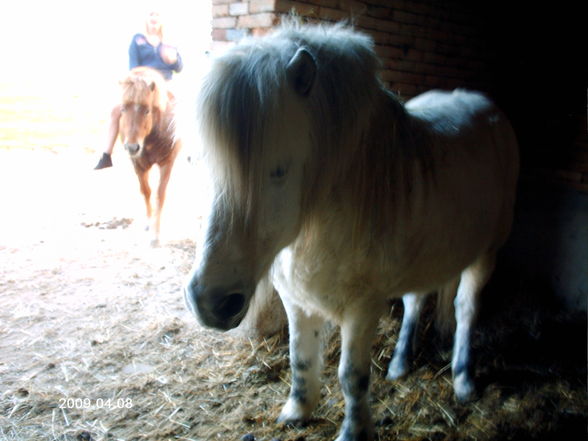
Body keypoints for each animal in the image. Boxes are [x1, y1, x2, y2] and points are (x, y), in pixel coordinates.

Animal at [119, 65, 181, 246]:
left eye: (147, 110)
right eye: (123, 108)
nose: (132, 147)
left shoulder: (167, 163)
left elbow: (160, 195)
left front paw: (156, 234)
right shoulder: (138, 165)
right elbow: (146, 191)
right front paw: (149, 223)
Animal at [185, 23, 520, 440]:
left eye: (278, 170)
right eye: (210, 164)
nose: (210, 303)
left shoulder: (362, 310)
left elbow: (351, 377)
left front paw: (353, 430)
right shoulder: (297, 301)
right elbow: (300, 360)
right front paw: (297, 411)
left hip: (485, 255)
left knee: (466, 309)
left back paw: (463, 382)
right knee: (415, 301)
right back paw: (399, 364)